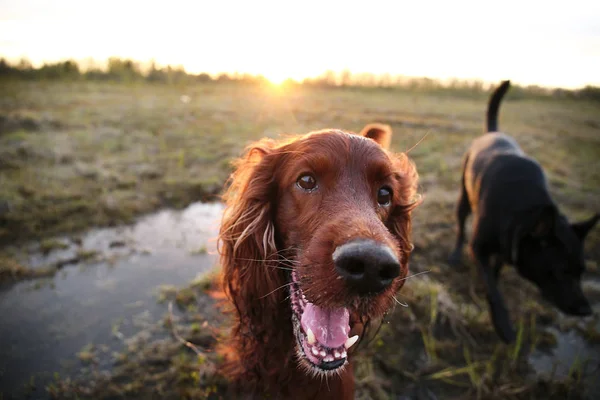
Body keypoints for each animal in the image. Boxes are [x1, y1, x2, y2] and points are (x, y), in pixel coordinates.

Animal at [448, 79, 596, 342]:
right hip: (464, 198)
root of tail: (492, 133)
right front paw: (503, 325)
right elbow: (494, 291)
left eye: (582, 272)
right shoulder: (479, 246)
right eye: (561, 271)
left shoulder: (507, 246)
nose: (586, 310)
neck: (524, 209)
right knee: (460, 226)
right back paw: (455, 255)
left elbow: (495, 271)